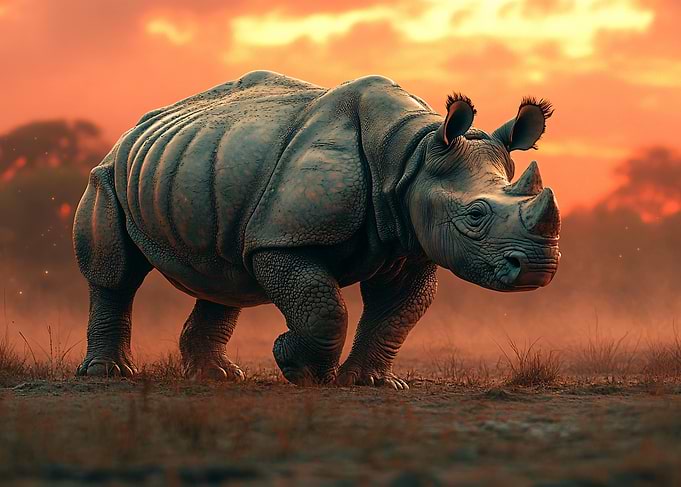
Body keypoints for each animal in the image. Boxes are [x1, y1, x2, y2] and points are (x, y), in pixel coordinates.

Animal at [73, 70, 560, 388]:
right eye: (475, 216)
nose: (538, 267)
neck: (411, 155)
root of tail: (134, 128)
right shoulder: (283, 238)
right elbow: (325, 308)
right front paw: (296, 367)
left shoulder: (410, 241)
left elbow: (397, 312)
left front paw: (368, 383)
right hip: (110, 172)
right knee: (117, 274)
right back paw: (109, 374)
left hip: (196, 165)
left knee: (225, 273)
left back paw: (218, 376)